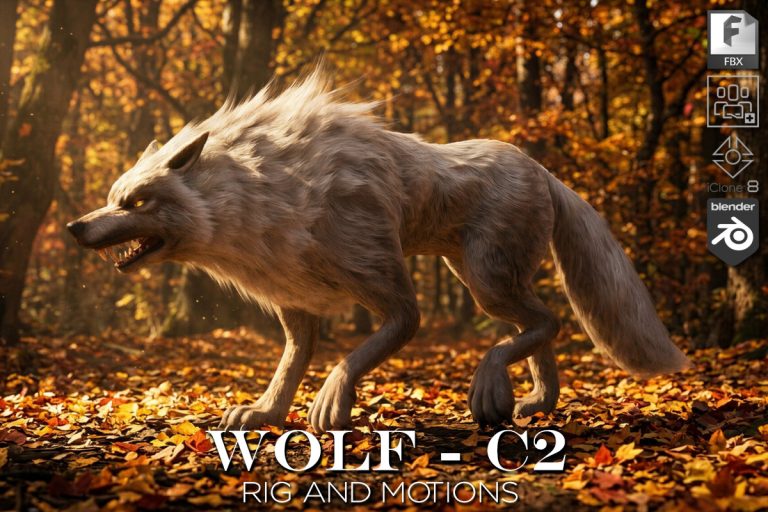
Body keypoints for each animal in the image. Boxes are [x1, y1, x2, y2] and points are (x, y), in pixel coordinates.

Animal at [67, 71, 691, 432]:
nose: (75, 227)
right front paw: (265, 413)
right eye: (112, 199)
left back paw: (493, 391)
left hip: (484, 281)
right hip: (478, 276)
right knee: (541, 325)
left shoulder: (385, 286)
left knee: (546, 321)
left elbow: (368, 347)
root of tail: (544, 171)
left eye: (137, 202)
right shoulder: (296, 306)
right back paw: (537, 403)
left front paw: (330, 403)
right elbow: (290, 365)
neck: (264, 189)